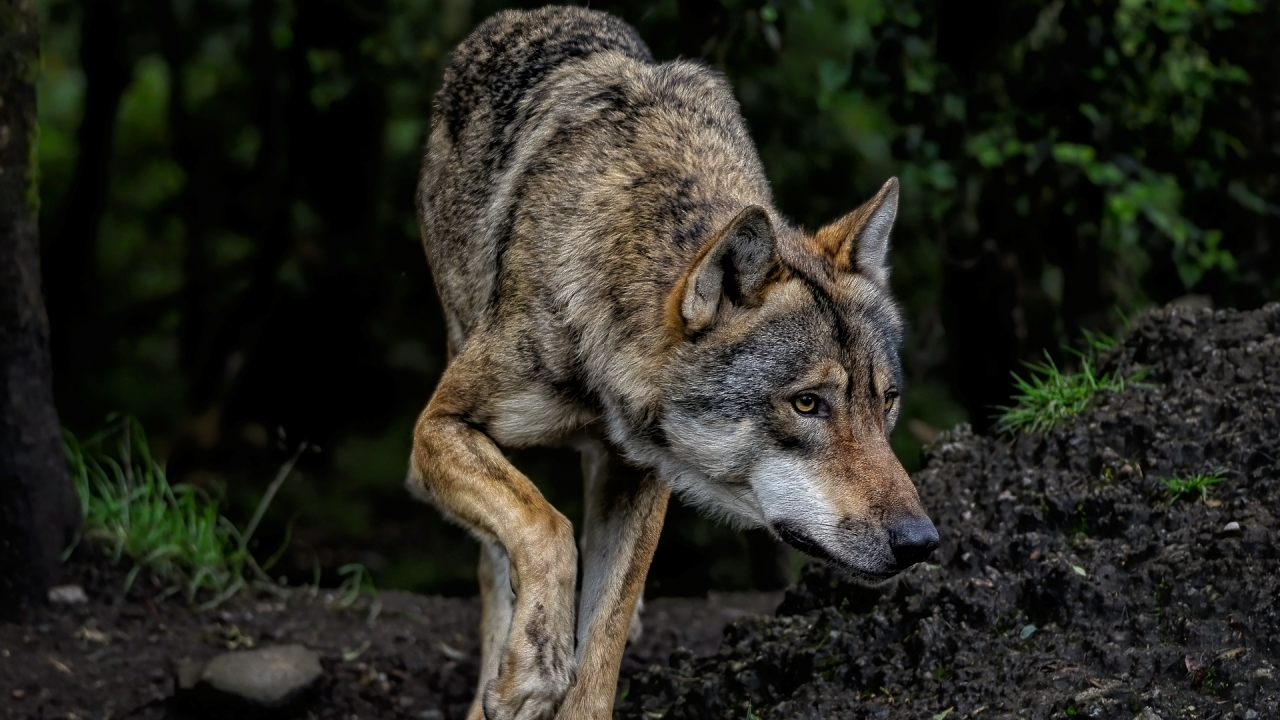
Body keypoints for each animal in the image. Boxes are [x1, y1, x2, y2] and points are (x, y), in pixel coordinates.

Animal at [408, 6, 939, 719]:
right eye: (807, 403)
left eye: (886, 402)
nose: (921, 542)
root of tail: (522, 17)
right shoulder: (438, 428)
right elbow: (544, 526)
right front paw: (530, 673)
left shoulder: (641, 474)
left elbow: (601, 643)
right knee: (499, 561)